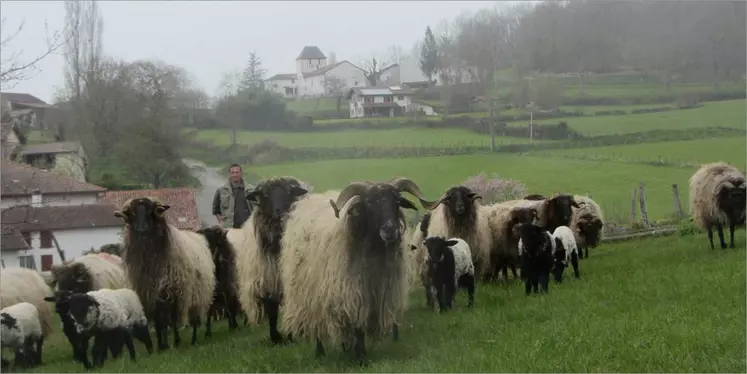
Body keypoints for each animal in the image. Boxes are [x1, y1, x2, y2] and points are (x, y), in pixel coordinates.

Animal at [113, 197, 216, 352]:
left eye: (150, 213)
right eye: (132, 213)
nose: (141, 229)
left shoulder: (168, 291)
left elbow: (166, 321)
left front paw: (166, 345)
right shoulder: (150, 293)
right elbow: (158, 322)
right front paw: (160, 346)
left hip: (196, 293)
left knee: (192, 319)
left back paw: (192, 340)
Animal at [238, 177, 312, 344]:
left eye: (289, 192)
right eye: (265, 195)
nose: (279, 212)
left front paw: (290, 336)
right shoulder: (267, 280)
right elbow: (271, 311)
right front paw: (276, 337)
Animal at [280, 177, 436, 364]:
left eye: (397, 201)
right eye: (369, 203)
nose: (390, 229)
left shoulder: (377, 296)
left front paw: (357, 352)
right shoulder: (353, 293)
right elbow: (358, 327)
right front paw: (361, 358)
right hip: (309, 294)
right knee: (317, 323)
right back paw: (320, 352)